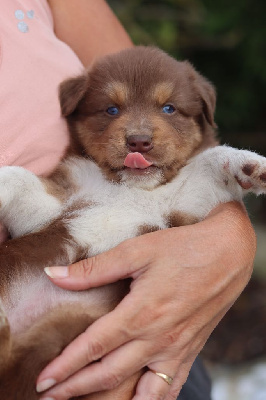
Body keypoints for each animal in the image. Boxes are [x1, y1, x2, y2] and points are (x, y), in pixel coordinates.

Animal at [0, 47, 266, 400]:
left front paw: (251, 166)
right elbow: (18, 179)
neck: (129, 189)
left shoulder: (184, 205)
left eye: (169, 108)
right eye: (111, 109)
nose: (138, 142)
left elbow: (210, 161)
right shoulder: (54, 203)